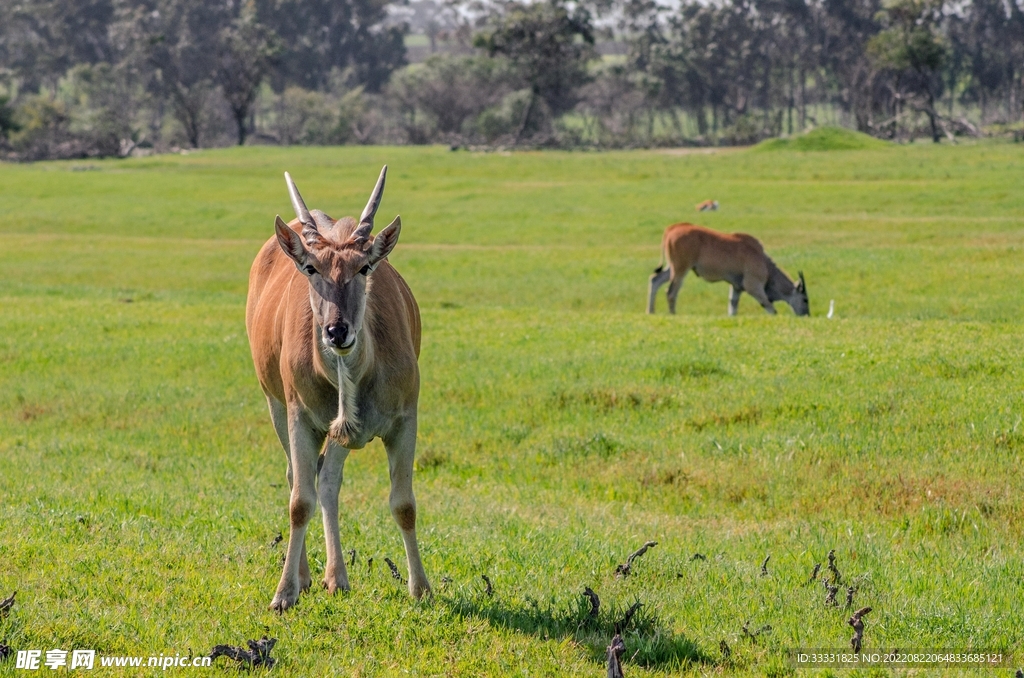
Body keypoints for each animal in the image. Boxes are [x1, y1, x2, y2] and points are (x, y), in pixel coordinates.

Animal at [245, 166, 430, 611]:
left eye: (364, 267)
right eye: (311, 268)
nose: (337, 330)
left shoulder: (405, 421)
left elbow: (404, 504)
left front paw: (421, 588)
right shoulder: (300, 417)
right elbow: (299, 502)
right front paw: (284, 593)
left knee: (327, 480)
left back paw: (336, 577)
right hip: (276, 404)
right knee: (298, 477)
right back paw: (308, 576)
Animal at [647, 223, 809, 317]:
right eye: (805, 299)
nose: (807, 315)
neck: (764, 262)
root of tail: (672, 229)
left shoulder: (736, 287)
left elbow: (733, 308)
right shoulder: (753, 286)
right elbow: (771, 309)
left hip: (673, 267)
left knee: (655, 279)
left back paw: (650, 312)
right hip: (681, 268)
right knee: (670, 291)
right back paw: (673, 314)